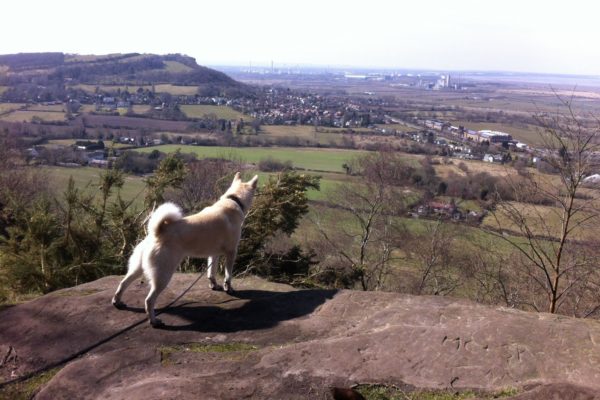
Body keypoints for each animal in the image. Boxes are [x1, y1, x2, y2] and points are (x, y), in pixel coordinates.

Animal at [112, 173, 258, 326]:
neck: (233, 200)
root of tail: (158, 232)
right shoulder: (231, 252)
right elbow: (228, 275)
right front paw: (228, 288)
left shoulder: (213, 254)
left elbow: (211, 273)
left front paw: (214, 285)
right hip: (163, 275)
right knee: (149, 300)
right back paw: (154, 321)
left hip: (138, 269)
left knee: (123, 283)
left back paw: (118, 302)